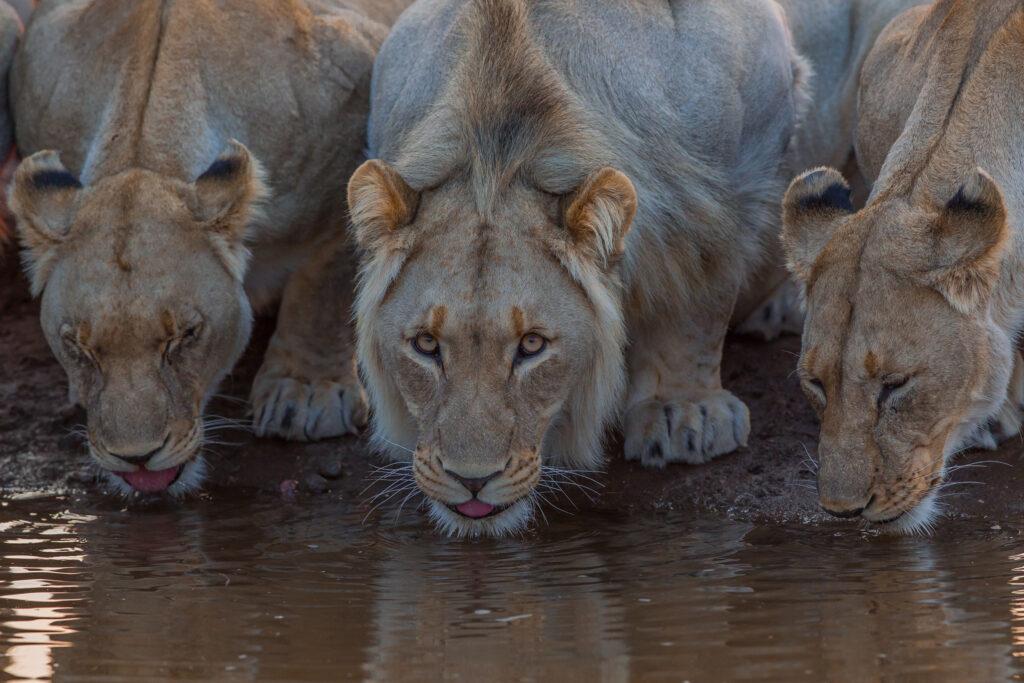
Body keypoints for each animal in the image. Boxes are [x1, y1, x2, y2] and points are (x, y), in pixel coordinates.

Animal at [9, 0, 407, 493]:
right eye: (78, 349)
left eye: (186, 336)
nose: (136, 458)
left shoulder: (349, 170)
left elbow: (321, 292)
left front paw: (305, 394)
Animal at [348, 0, 811, 536]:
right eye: (425, 345)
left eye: (532, 346)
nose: (471, 481)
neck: (498, 156)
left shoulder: (735, 176)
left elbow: (701, 303)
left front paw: (685, 413)